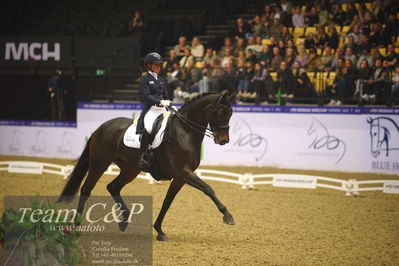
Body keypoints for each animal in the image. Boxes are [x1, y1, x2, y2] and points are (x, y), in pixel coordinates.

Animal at [57, 91, 236, 241]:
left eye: (231, 113)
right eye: (221, 112)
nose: (224, 140)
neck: (185, 132)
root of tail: (101, 127)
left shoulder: (180, 177)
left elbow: (167, 202)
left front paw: (159, 231)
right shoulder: (184, 172)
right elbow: (208, 189)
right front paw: (227, 216)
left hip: (130, 169)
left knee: (113, 187)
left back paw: (124, 220)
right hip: (100, 163)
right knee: (86, 189)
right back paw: (76, 229)